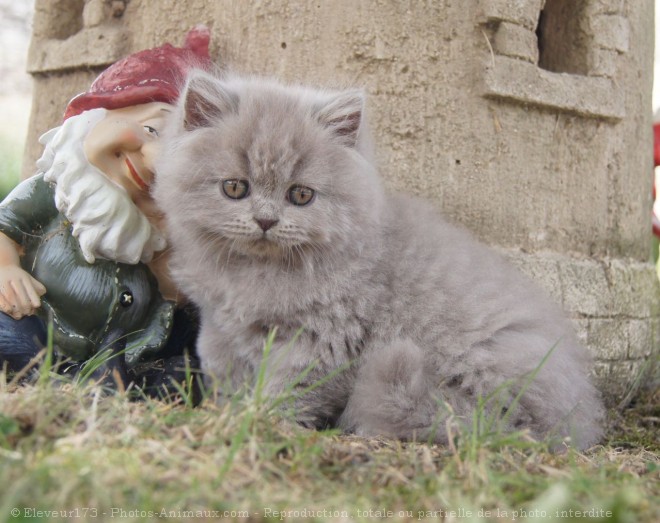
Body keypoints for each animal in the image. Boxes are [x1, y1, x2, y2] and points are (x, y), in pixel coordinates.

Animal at [153, 69, 604, 450]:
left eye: (301, 195)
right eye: (234, 188)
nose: (265, 220)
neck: (255, 274)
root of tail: (574, 420)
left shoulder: (322, 341)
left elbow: (289, 390)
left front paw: (264, 421)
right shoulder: (223, 325)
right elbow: (223, 367)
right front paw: (227, 412)